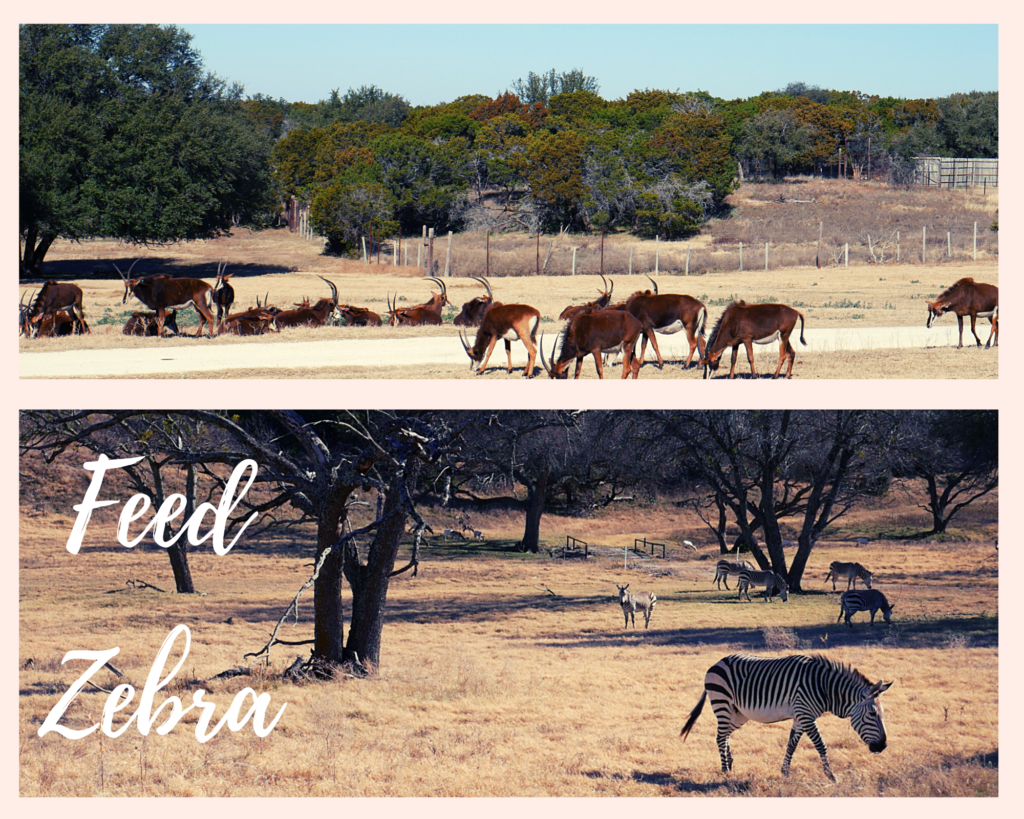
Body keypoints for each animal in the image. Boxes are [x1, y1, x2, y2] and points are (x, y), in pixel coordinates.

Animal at [679, 651, 888, 782]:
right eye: (872, 713)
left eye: (882, 713)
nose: (883, 746)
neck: (824, 688)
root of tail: (716, 663)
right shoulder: (806, 715)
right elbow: (821, 745)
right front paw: (831, 776)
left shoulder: (799, 717)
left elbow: (791, 745)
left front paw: (785, 773)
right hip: (722, 703)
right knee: (720, 736)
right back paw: (725, 771)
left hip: (738, 713)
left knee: (725, 735)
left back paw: (730, 764)